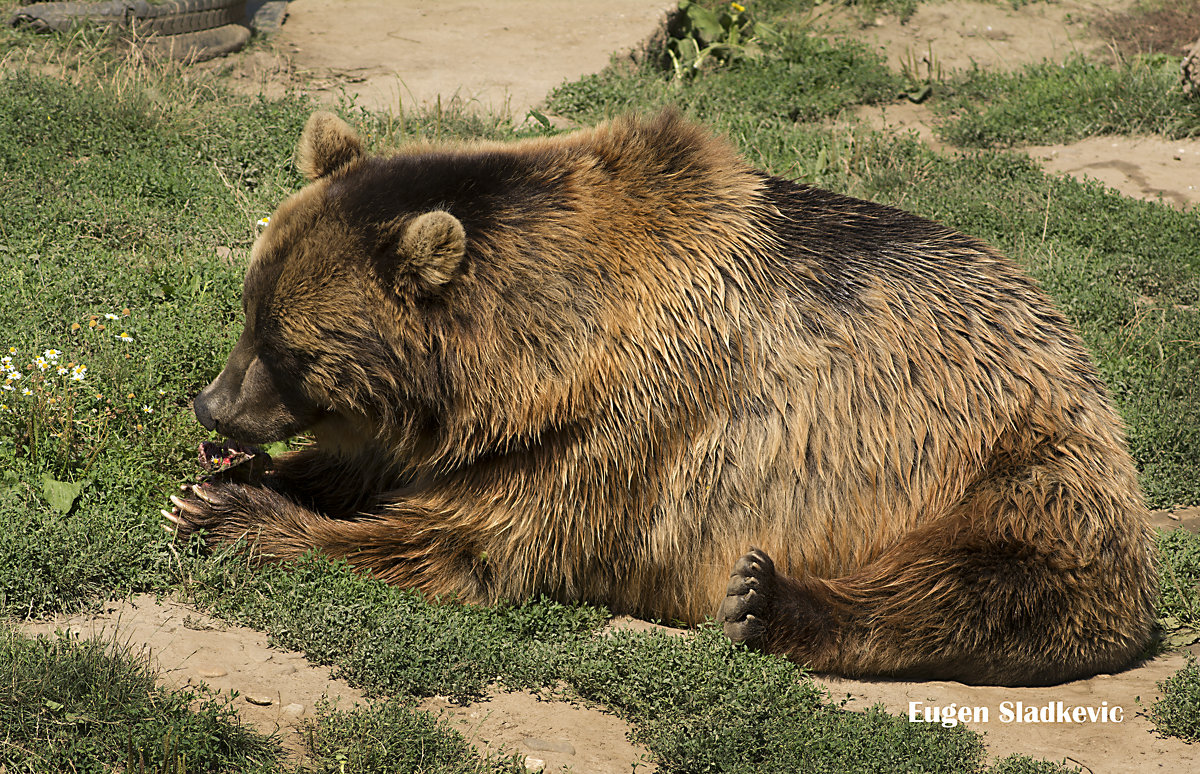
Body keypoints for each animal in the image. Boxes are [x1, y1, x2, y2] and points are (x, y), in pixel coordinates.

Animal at [164, 107, 1156, 681]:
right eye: (250, 310)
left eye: (287, 348)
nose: (213, 406)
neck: (549, 349)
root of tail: (1070, 339)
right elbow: (380, 467)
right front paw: (219, 484)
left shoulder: (631, 426)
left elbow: (470, 543)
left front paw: (239, 517)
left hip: (1008, 455)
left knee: (998, 574)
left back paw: (763, 599)